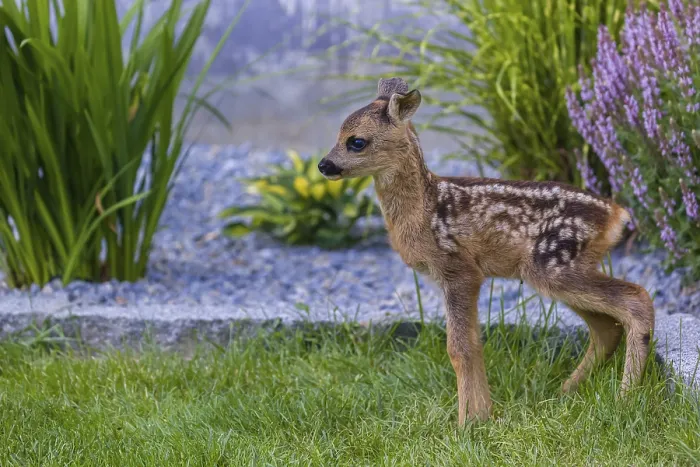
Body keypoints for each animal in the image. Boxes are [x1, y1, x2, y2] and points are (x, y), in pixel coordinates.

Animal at [317, 77, 655, 426]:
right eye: (338, 135)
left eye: (356, 141)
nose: (324, 165)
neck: (423, 209)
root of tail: (617, 215)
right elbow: (473, 343)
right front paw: (483, 416)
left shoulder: (460, 269)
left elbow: (459, 347)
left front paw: (466, 423)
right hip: (561, 269)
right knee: (607, 327)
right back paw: (564, 393)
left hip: (552, 263)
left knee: (637, 299)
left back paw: (624, 398)